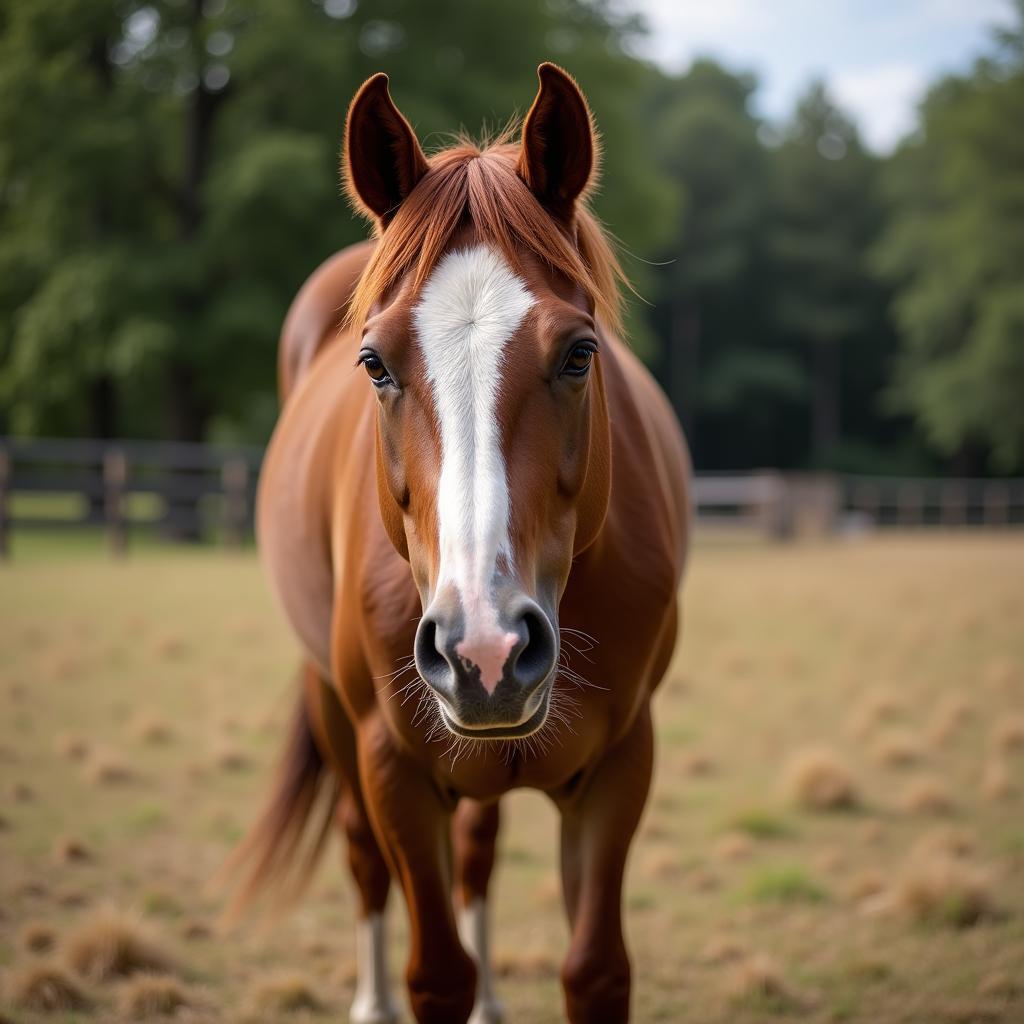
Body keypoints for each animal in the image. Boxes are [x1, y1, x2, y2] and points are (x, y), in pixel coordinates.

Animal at [232, 66, 692, 1024]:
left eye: (580, 354)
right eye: (373, 363)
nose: (485, 647)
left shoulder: (620, 766)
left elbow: (595, 970)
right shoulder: (394, 769)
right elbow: (434, 971)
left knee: (477, 852)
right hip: (333, 709)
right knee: (363, 862)